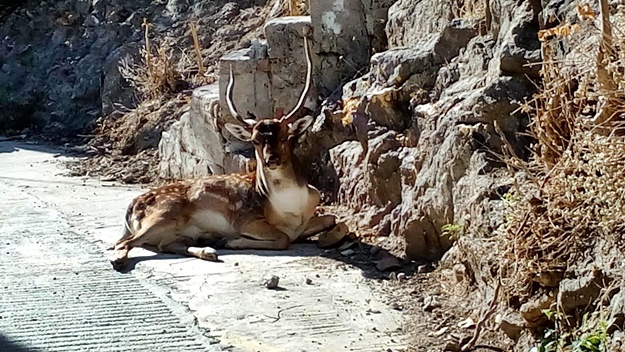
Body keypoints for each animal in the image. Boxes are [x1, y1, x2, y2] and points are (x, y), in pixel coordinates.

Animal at [111, 35, 336, 270]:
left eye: (285, 137)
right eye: (255, 141)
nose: (271, 159)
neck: (291, 208)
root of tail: (130, 209)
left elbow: (331, 218)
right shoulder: (246, 218)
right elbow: (283, 238)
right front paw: (231, 240)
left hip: (174, 230)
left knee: (166, 244)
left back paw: (208, 248)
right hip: (164, 212)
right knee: (124, 242)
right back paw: (119, 259)